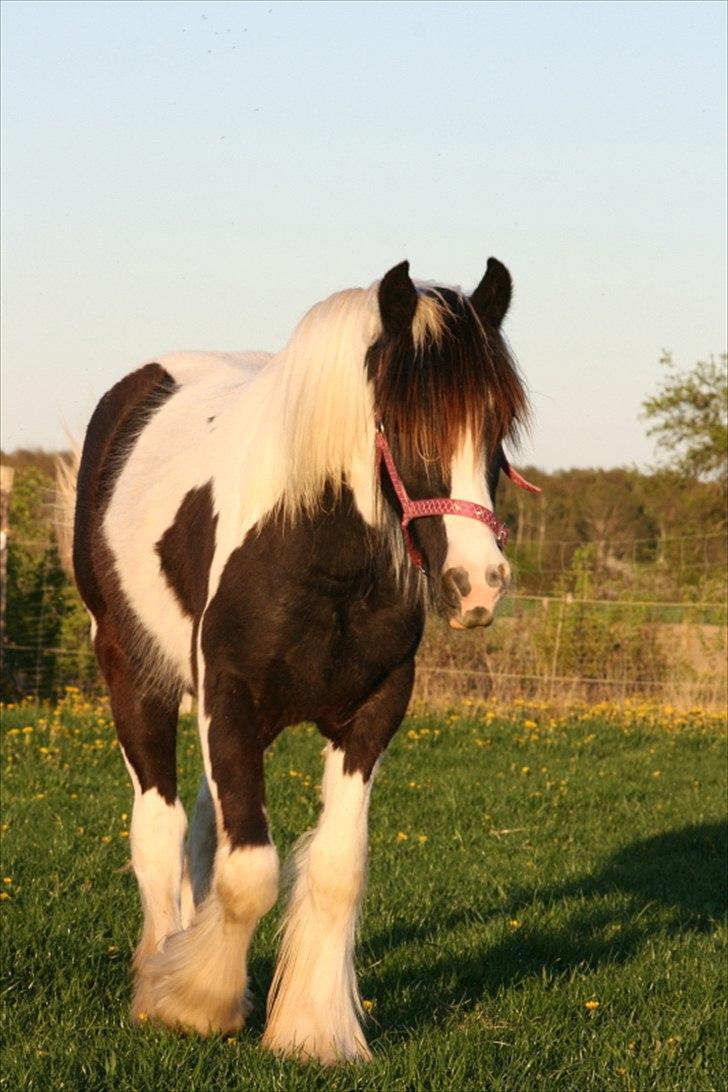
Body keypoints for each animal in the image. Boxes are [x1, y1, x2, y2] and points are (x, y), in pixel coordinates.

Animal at [69, 253, 534, 1057]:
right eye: (401, 423)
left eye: (497, 426)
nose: (477, 585)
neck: (314, 552)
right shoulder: (227, 698)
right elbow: (250, 871)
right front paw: (194, 1002)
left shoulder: (372, 711)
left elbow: (336, 868)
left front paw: (313, 1031)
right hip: (134, 677)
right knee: (159, 829)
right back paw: (158, 974)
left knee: (200, 831)